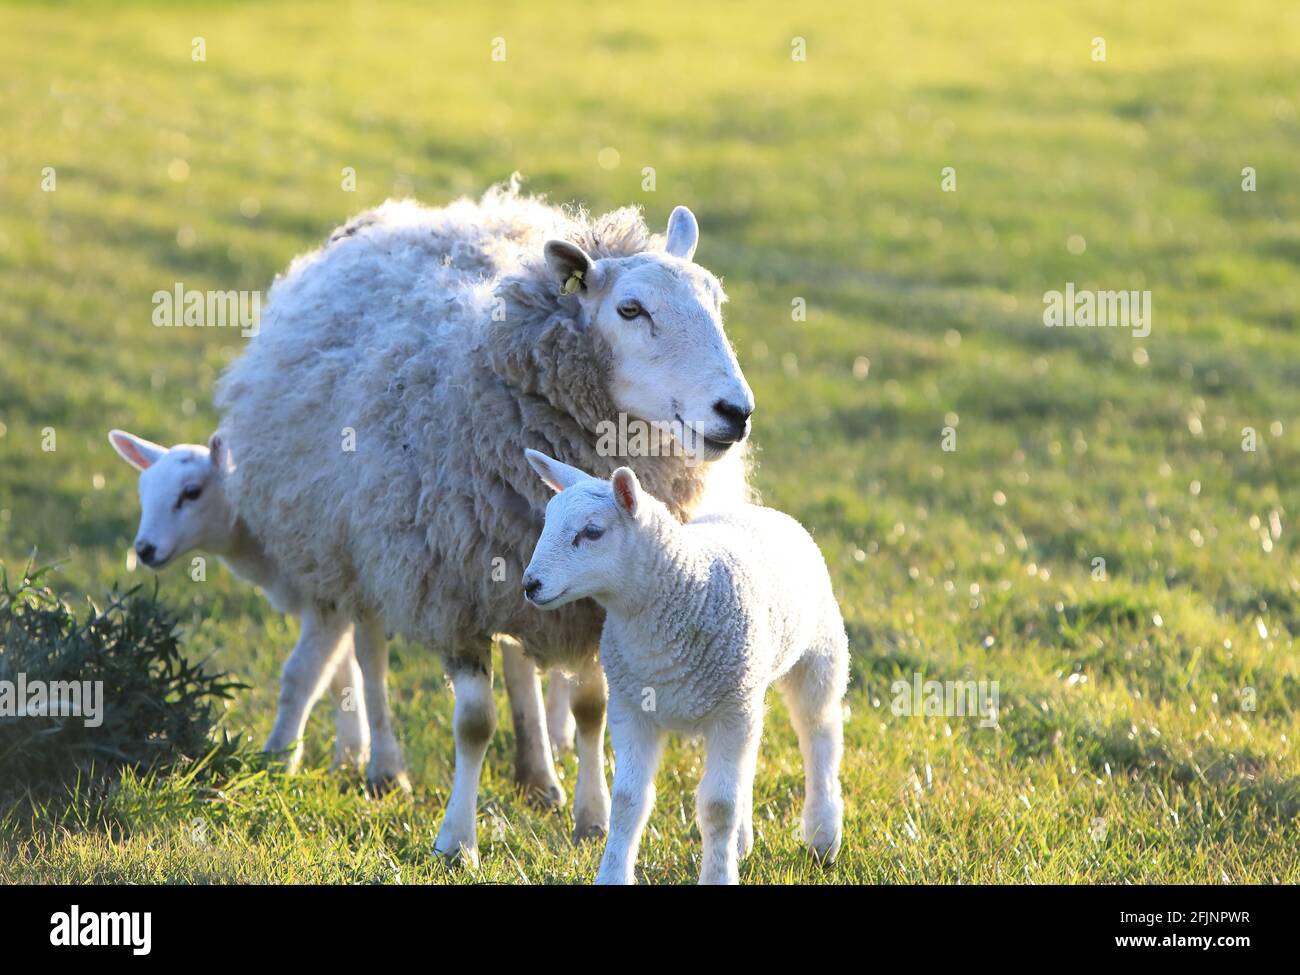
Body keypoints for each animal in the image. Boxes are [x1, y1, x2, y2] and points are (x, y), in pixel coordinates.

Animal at [213, 180, 755, 862]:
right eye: (631, 310)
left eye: (716, 301)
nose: (736, 411)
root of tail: (415, 212)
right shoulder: (449, 593)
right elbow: (473, 724)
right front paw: (456, 840)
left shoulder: (591, 600)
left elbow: (590, 708)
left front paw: (592, 818)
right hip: (357, 549)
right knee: (370, 654)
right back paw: (385, 768)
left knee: (521, 663)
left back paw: (538, 776)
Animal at [522, 450, 847, 885]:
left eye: (592, 532)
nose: (530, 585)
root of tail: (756, 510)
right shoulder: (632, 707)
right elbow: (628, 801)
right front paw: (612, 873)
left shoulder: (730, 710)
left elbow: (717, 806)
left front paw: (718, 875)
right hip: (749, 690)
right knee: (749, 763)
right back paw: (743, 842)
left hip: (818, 653)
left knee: (819, 733)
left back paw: (822, 835)